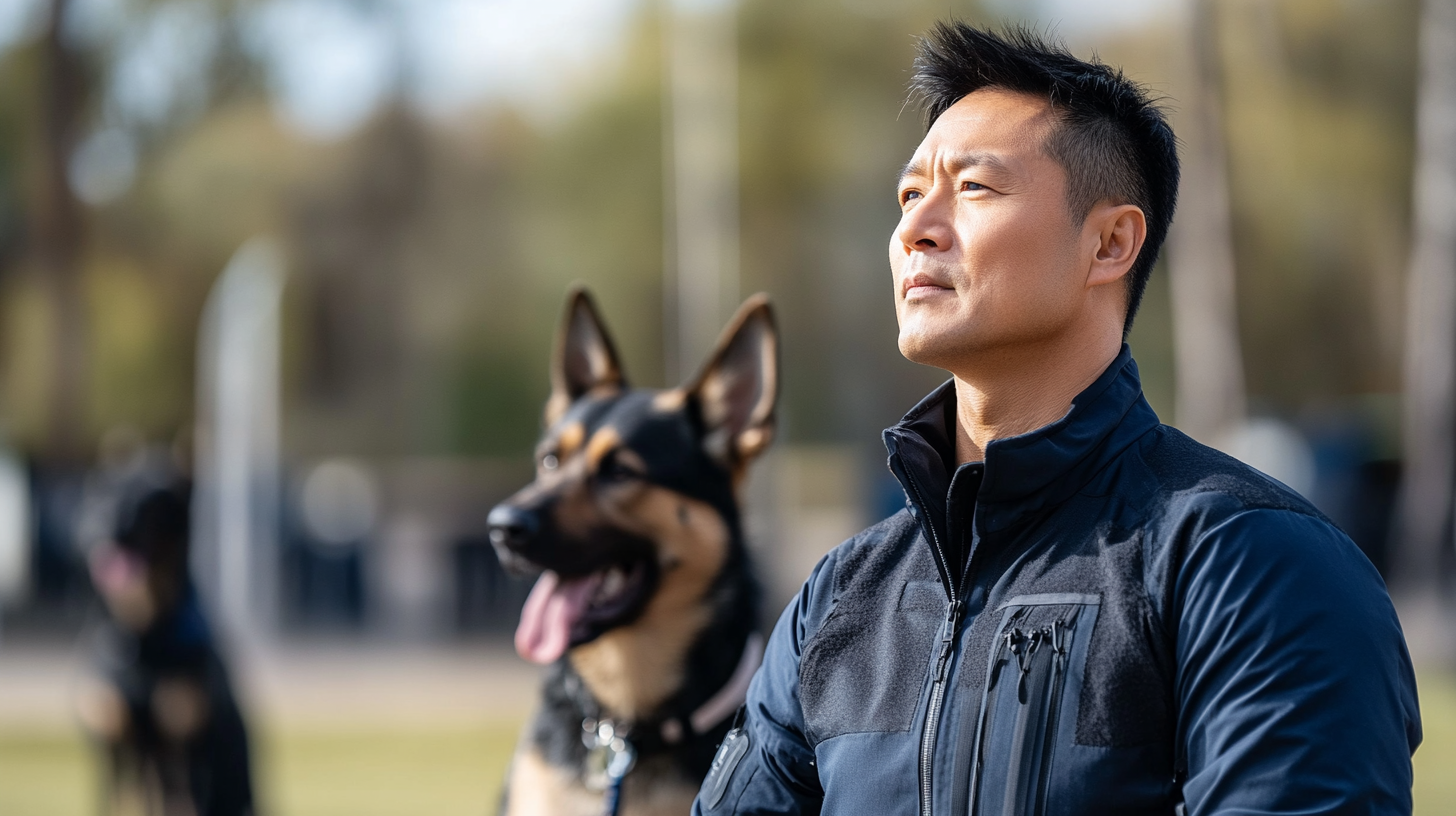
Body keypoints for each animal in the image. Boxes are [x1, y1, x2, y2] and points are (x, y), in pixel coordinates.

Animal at [73, 472, 254, 816]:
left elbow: (184, 801)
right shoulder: (116, 749)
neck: (143, 638)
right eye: (101, 497)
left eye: (149, 500)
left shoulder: (184, 751)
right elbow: (120, 801)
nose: (108, 518)